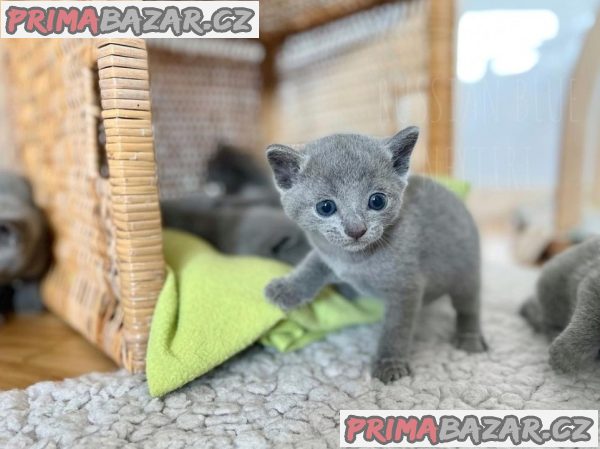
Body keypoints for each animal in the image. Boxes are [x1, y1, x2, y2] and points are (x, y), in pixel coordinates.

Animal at [264, 127, 488, 382]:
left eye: (377, 201)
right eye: (325, 207)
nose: (356, 230)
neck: (355, 261)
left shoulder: (406, 288)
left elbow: (396, 328)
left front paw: (389, 363)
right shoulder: (327, 254)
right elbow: (311, 266)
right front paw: (286, 289)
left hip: (466, 271)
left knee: (469, 306)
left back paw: (469, 338)